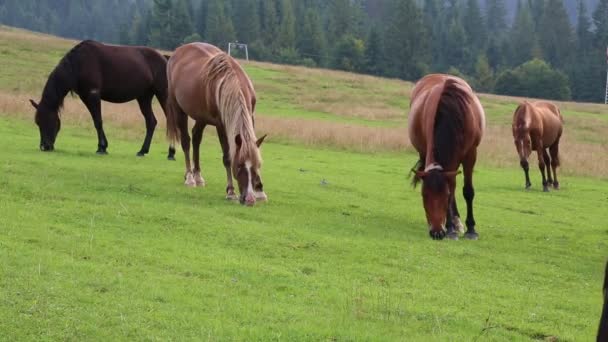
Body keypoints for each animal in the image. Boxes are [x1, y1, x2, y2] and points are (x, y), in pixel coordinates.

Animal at [29, 39, 175, 159]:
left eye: (47, 120)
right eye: (37, 122)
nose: (45, 146)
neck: (78, 64)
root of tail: (165, 58)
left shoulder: (93, 95)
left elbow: (98, 121)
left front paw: (102, 148)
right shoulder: (85, 97)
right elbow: (96, 120)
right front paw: (103, 146)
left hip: (163, 95)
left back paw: (171, 153)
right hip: (144, 97)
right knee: (151, 122)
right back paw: (142, 150)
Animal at [165, 42, 268, 206]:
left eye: (256, 166)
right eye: (238, 165)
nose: (250, 199)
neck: (233, 83)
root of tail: (177, 52)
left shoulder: (251, 116)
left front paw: (260, 191)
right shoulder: (221, 125)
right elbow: (227, 157)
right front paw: (231, 191)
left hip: (201, 116)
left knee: (196, 138)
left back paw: (198, 176)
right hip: (178, 109)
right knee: (186, 141)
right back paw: (190, 177)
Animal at [406, 74, 486, 240]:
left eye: (445, 195)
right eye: (424, 195)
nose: (437, 232)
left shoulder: (470, 154)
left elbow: (467, 191)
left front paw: (471, 229)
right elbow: (453, 188)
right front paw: (450, 229)